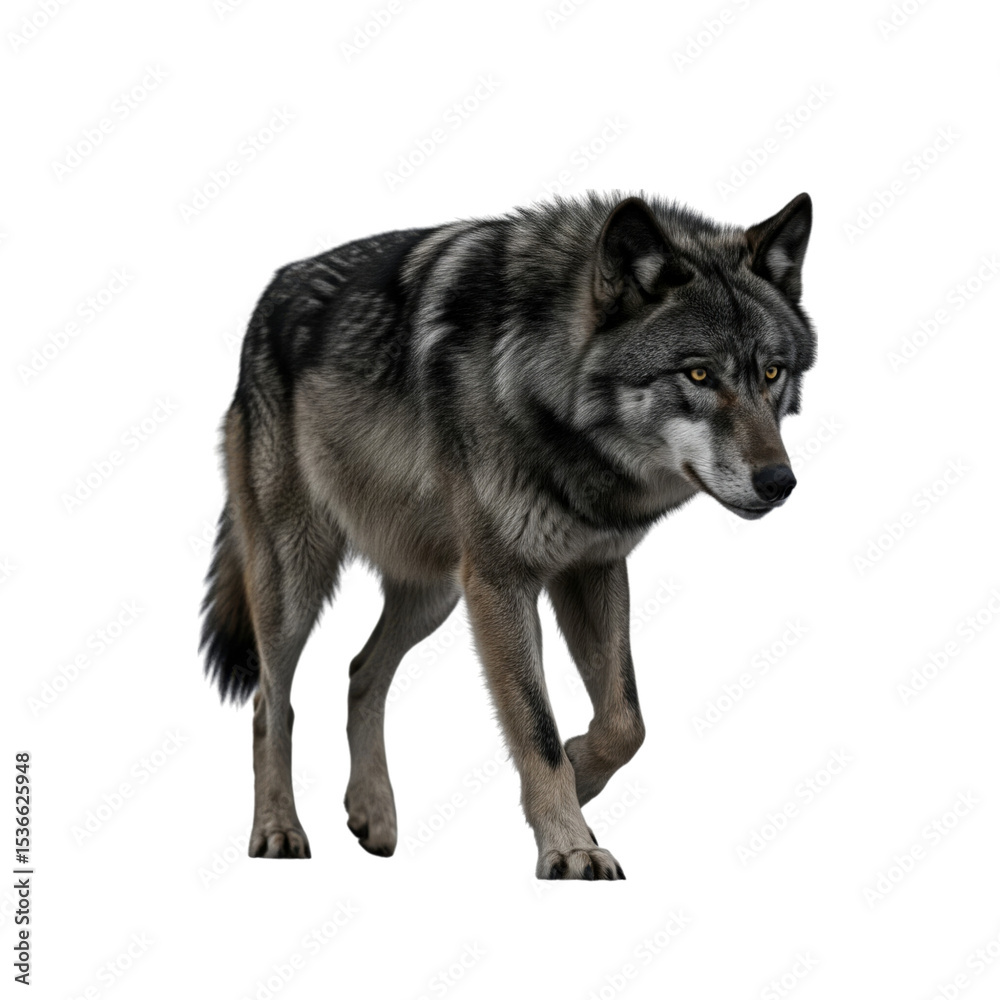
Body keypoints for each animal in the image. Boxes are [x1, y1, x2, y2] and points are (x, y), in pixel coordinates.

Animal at [201, 190, 815, 880]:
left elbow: (625, 721)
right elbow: (536, 726)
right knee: (270, 703)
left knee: (361, 671)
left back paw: (373, 814)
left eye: (772, 373)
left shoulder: (591, 568)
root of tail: (273, 289)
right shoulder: (502, 582)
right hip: (299, 580)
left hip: (438, 592)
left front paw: (581, 774)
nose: (780, 482)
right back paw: (278, 829)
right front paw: (571, 847)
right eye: (700, 376)